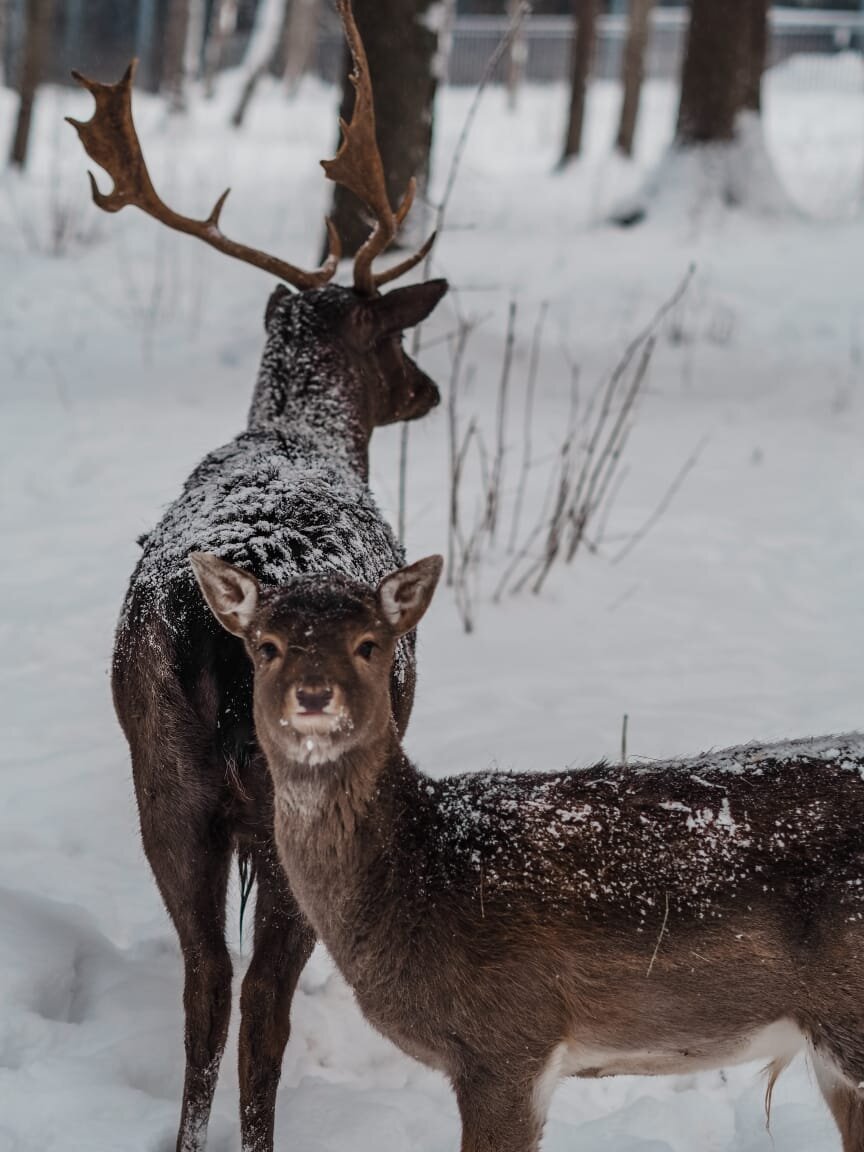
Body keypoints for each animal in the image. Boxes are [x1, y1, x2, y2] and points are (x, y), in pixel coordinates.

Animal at [65, 4, 449, 1147]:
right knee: (262, 1001)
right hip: (287, 784)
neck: (302, 433)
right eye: (393, 340)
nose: (428, 388)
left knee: (204, 981)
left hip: (163, 771)